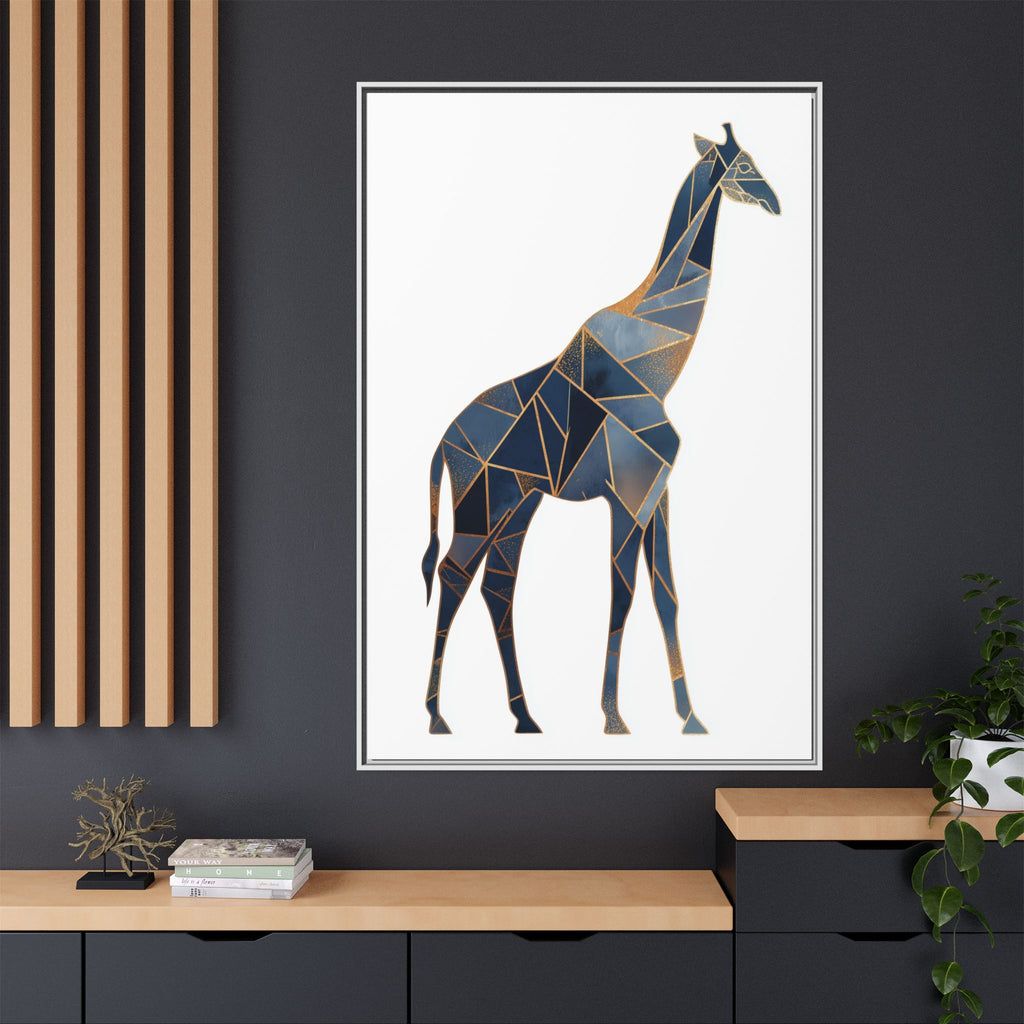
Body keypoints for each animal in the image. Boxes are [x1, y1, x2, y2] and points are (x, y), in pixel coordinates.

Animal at [420, 123, 781, 736]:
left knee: (497, 586)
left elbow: (666, 596)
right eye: (744, 164)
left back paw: (525, 717)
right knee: (452, 576)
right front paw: (614, 718)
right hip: (480, 505)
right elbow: (623, 595)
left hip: (518, 506)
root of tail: (444, 444)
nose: (775, 202)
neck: (658, 363)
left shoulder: (657, 493)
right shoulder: (628, 495)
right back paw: (438, 717)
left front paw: (690, 718)